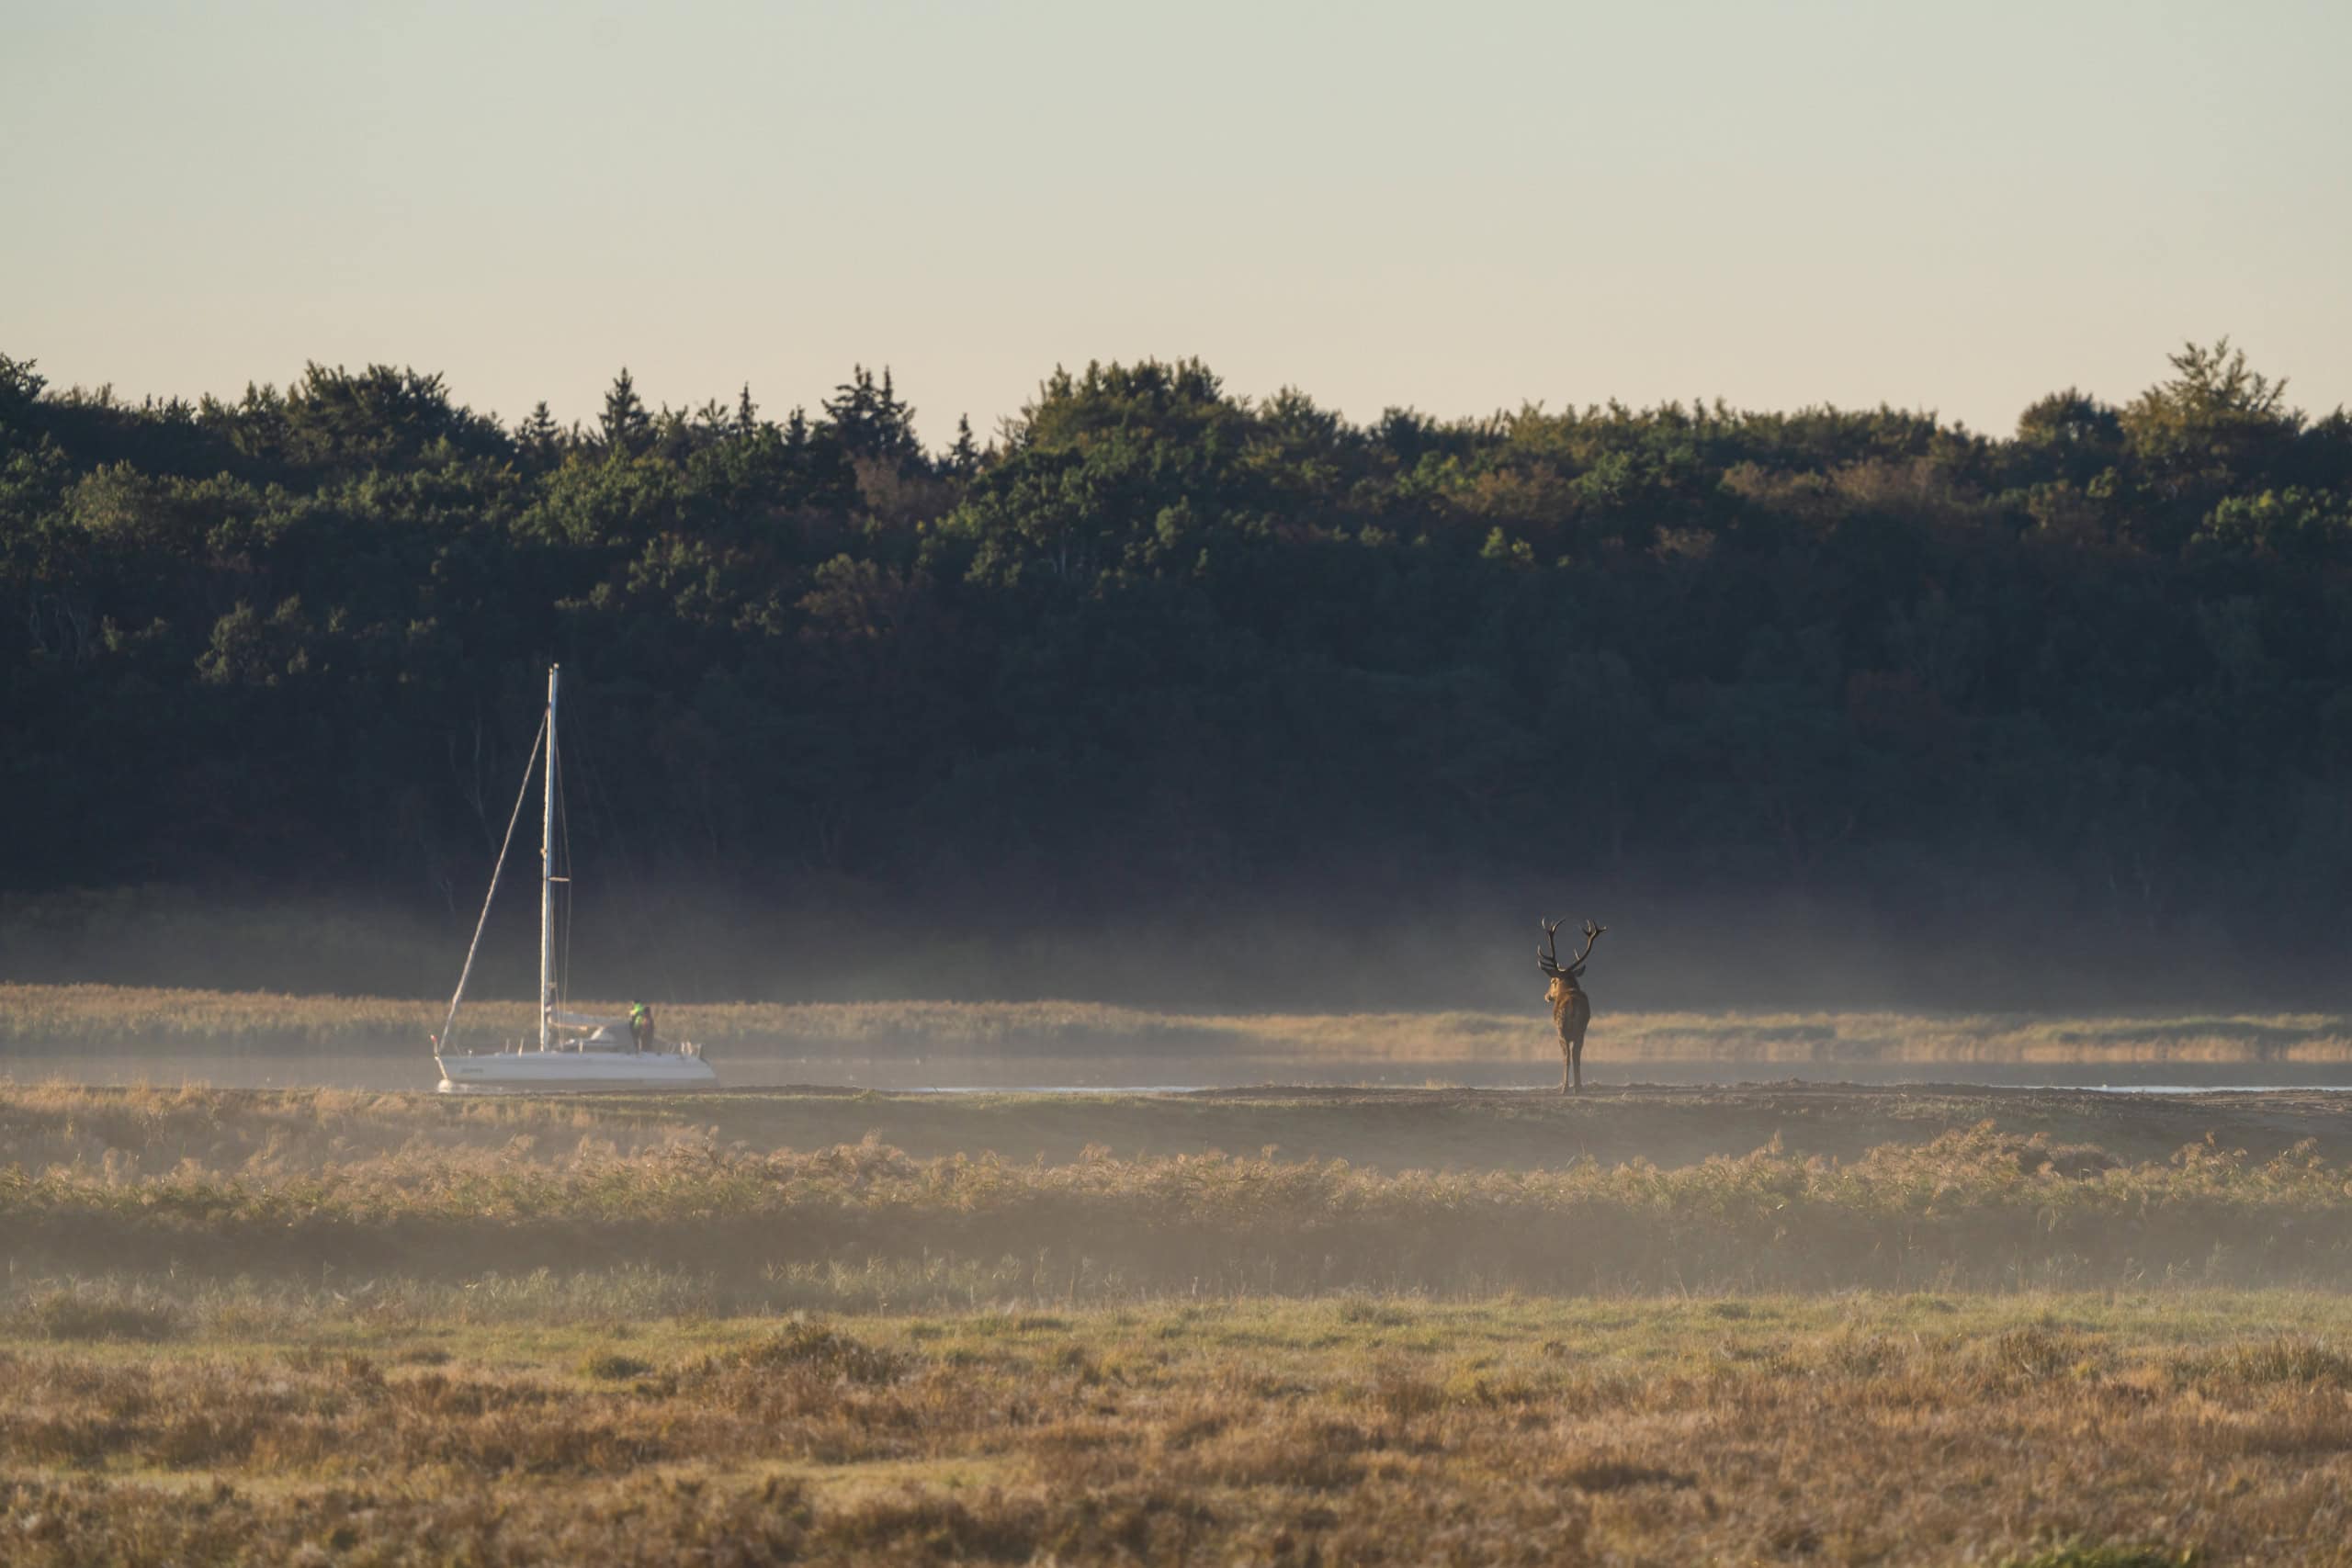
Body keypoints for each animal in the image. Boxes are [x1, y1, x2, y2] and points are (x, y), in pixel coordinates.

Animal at [1538, 917, 1606, 1094]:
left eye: (1552, 981)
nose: (1546, 996)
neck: (1568, 988)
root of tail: (1572, 1006)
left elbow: (1566, 1056)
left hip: (1562, 1029)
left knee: (1568, 1055)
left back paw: (1566, 1087)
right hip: (1582, 1029)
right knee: (1577, 1054)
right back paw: (1578, 1086)